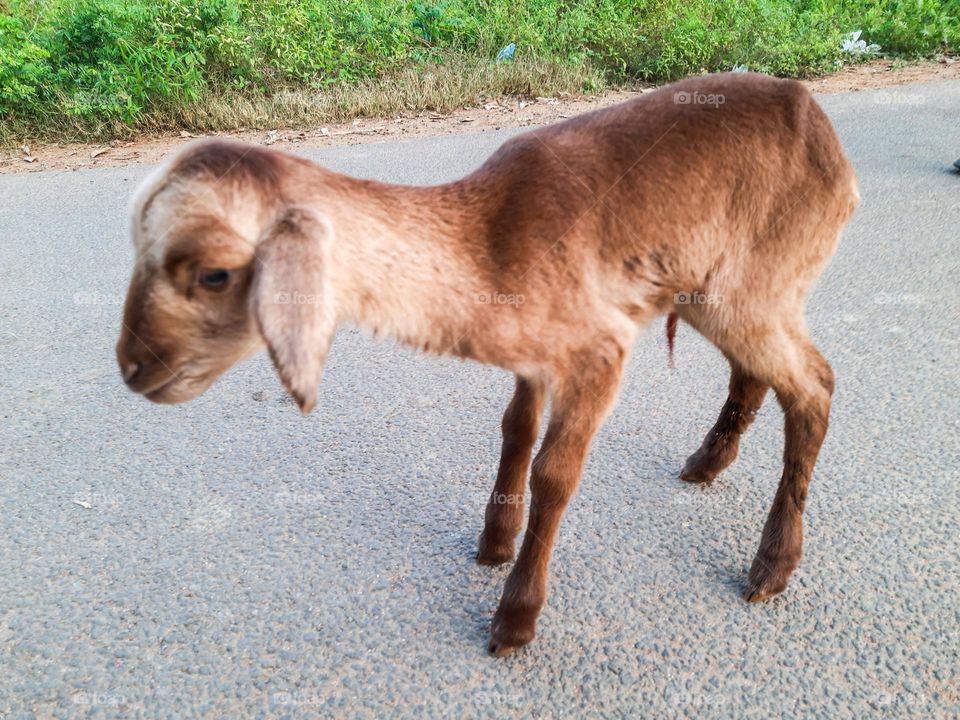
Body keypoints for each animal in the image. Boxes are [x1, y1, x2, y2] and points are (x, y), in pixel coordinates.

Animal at [116, 71, 860, 652]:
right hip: (712, 290)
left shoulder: (600, 348)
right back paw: (706, 464)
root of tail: (827, 137)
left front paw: (514, 619)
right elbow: (514, 432)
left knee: (815, 384)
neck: (489, 241)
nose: (132, 364)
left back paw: (771, 567)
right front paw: (493, 542)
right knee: (761, 372)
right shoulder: (535, 355)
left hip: (759, 279)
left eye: (213, 273)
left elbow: (555, 473)